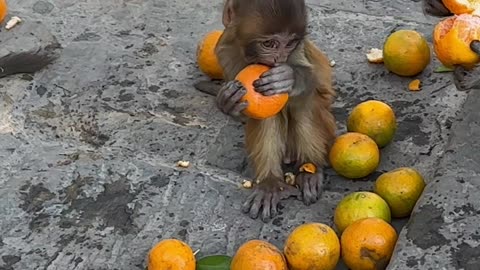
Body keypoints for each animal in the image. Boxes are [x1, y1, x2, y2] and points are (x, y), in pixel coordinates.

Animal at [197, 0, 336, 221]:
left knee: (304, 101)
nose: (280, 59)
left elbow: (311, 83)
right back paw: (270, 183)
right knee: (268, 116)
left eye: (289, 43)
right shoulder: (225, 48)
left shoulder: (297, 50)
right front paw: (227, 101)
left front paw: (290, 77)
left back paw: (309, 169)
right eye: (269, 44)